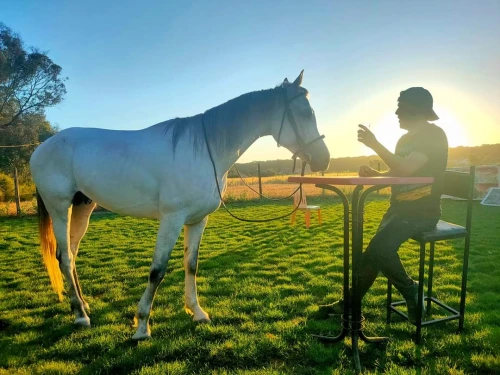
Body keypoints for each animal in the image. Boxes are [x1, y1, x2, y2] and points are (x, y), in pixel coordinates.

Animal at [29, 70, 330, 340]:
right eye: (305, 113)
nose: (323, 160)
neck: (205, 150)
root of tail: (41, 148)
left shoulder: (197, 220)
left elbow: (191, 264)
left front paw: (197, 312)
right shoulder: (171, 219)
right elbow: (157, 270)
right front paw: (142, 326)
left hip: (83, 206)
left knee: (72, 253)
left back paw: (83, 304)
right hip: (60, 207)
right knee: (65, 257)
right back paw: (81, 315)